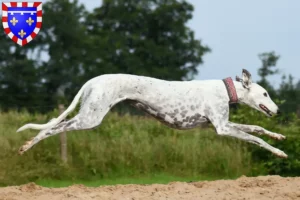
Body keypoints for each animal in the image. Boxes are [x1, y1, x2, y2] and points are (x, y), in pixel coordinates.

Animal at [17, 69, 288, 158]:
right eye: (265, 94)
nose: (278, 109)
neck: (225, 89)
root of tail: (92, 80)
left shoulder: (220, 125)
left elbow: (258, 129)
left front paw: (279, 138)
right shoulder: (223, 128)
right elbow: (256, 138)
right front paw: (279, 152)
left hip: (88, 114)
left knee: (54, 126)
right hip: (89, 118)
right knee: (53, 128)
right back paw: (27, 145)